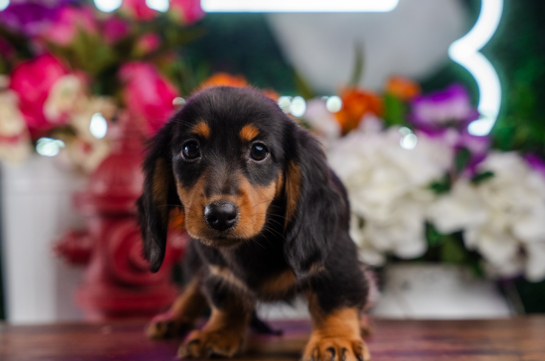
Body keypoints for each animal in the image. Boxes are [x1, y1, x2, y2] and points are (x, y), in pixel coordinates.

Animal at [138, 86, 372, 358]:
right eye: (190, 150)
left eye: (259, 151)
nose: (220, 215)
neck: (255, 244)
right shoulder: (217, 269)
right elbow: (225, 300)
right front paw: (217, 332)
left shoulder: (336, 259)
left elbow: (336, 299)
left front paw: (334, 339)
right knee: (195, 286)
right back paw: (175, 316)